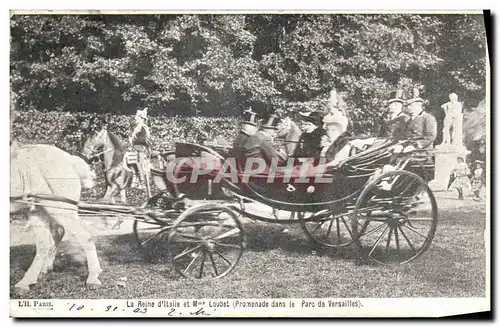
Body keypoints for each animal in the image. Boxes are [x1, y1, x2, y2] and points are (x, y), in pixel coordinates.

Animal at [10, 142, 102, 296]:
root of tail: (69, 159)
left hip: (60, 208)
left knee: (84, 237)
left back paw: (93, 277)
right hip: (37, 209)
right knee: (46, 241)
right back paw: (28, 280)